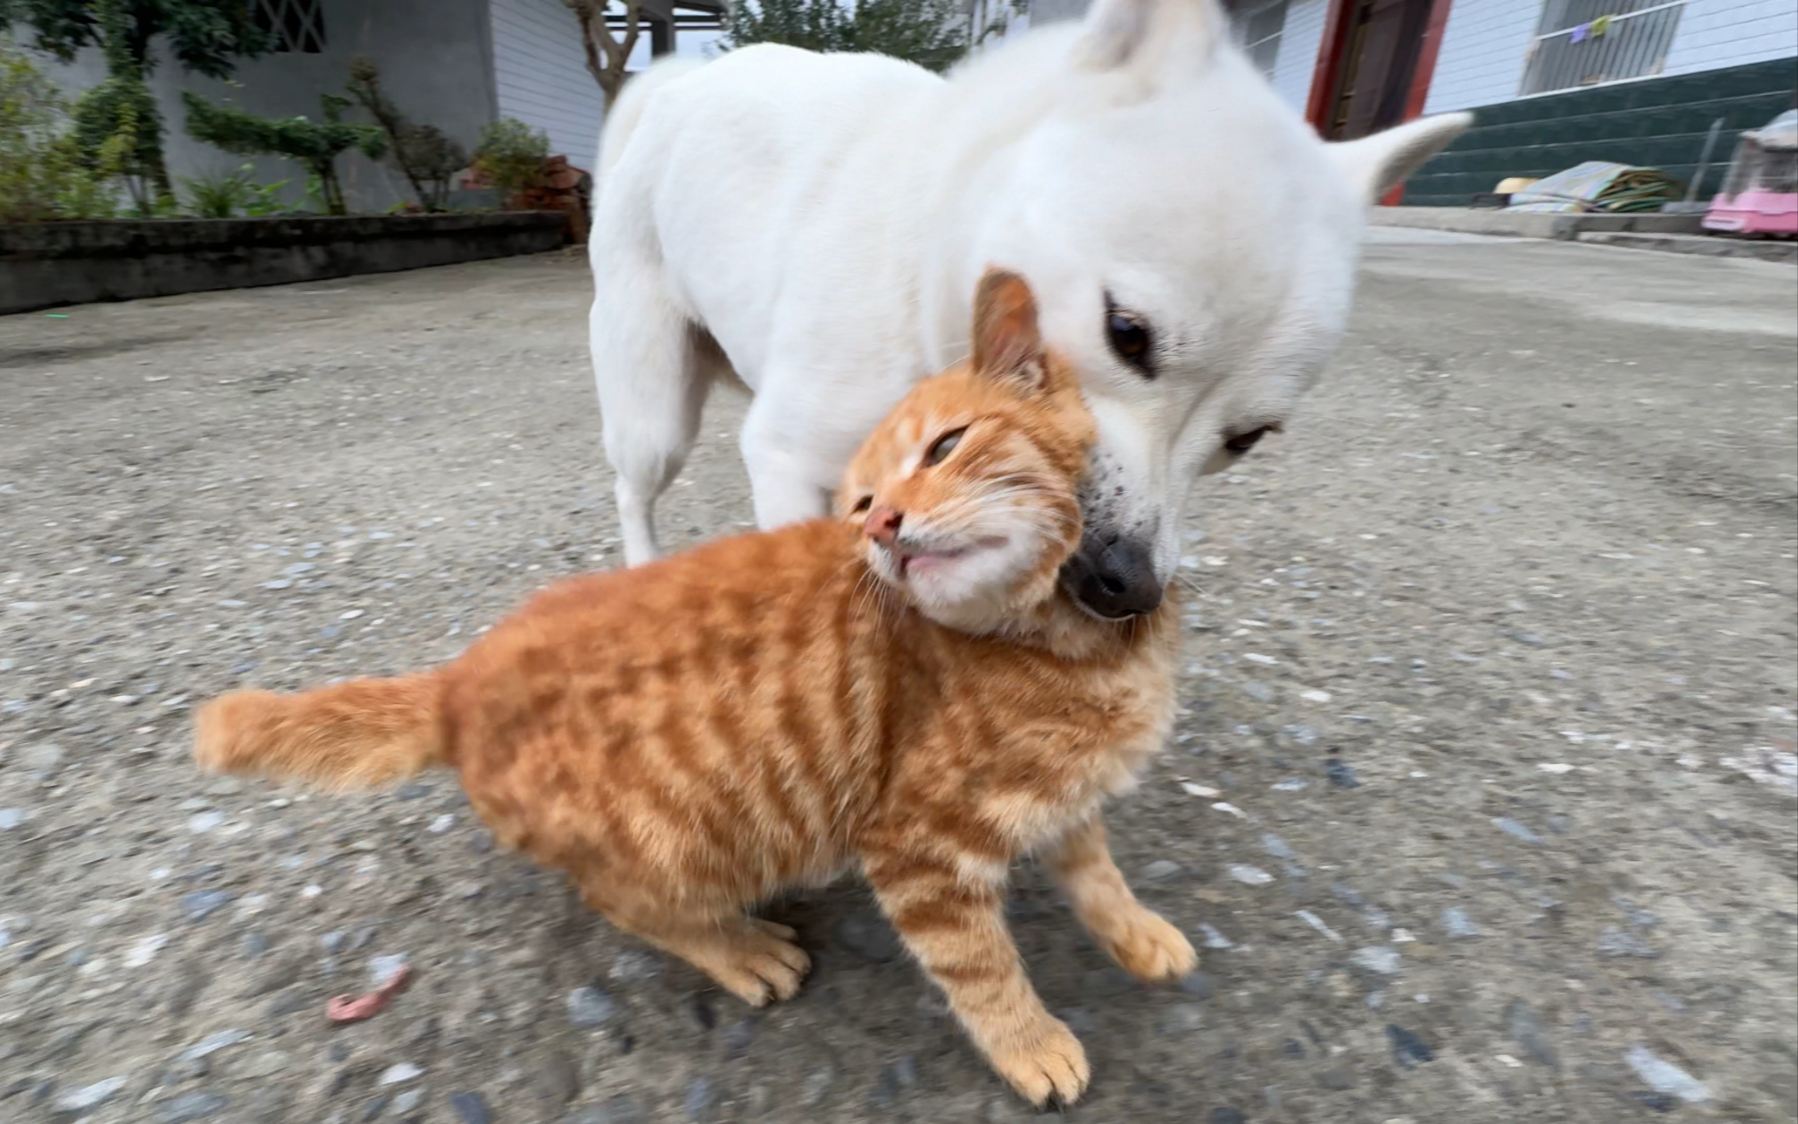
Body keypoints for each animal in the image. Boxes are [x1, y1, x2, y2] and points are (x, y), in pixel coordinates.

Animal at [193, 269, 1193, 1107]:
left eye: (948, 446)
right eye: (862, 506)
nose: (886, 527)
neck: (1061, 637)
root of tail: (458, 679)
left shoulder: (1064, 797)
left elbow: (1095, 869)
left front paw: (1136, 932)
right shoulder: (920, 851)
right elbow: (984, 971)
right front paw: (1032, 1044)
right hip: (686, 846)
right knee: (622, 903)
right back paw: (739, 947)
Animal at [582, 0, 1467, 618]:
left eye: (1246, 439)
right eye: (1126, 333)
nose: (1127, 587)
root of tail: (675, 88)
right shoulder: (791, 459)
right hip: (657, 417)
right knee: (633, 487)